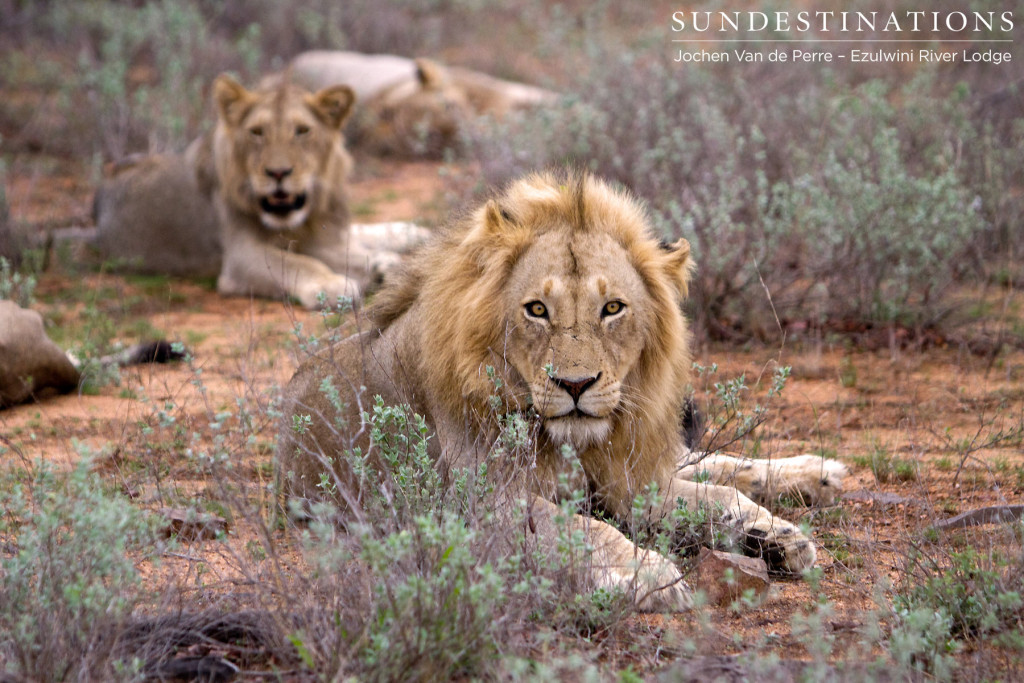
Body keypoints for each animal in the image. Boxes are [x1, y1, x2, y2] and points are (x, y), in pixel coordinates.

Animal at [274, 172, 847, 614]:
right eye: (536, 310)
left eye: (612, 308)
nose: (575, 385)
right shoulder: (480, 501)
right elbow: (583, 528)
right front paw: (651, 574)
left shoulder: (623, 480)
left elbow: (713, 494)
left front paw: (774, 534)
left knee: (708, 463)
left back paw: (810, 485)